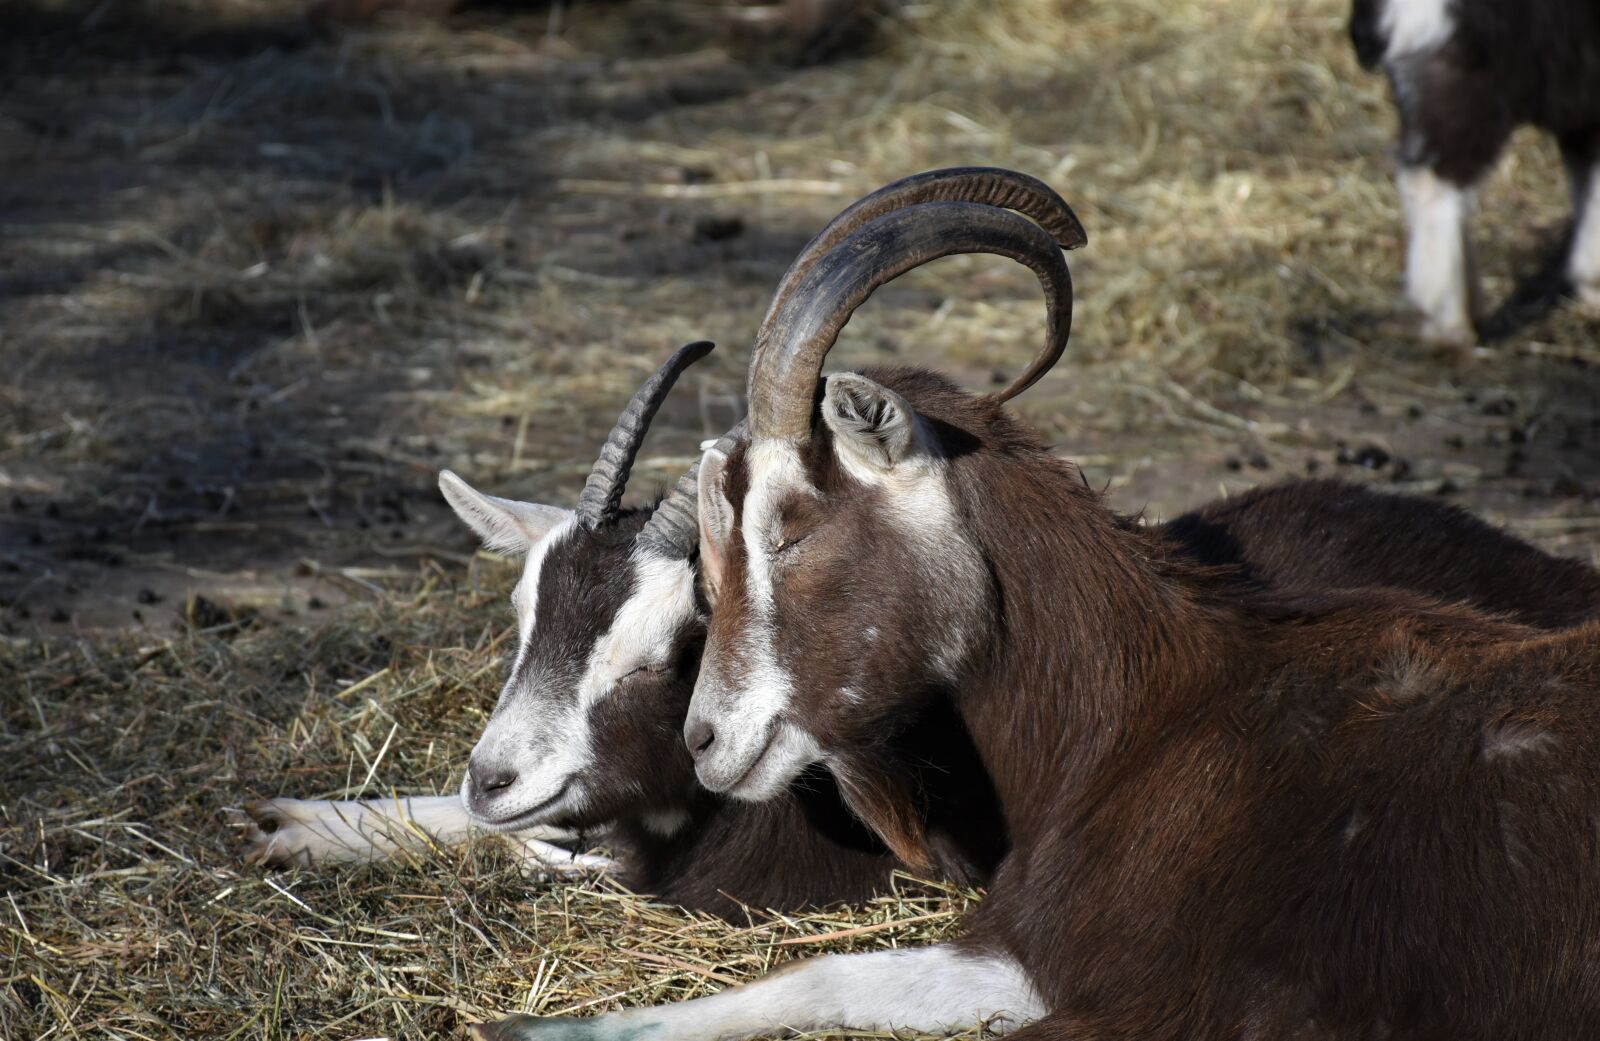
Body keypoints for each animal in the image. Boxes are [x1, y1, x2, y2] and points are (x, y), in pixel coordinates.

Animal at [473, 177, 1600, 1040]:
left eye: (786, 528)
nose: (707, 740)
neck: (1141, 719)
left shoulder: (1193, 1002)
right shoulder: (1022, 948)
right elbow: (816, 976)